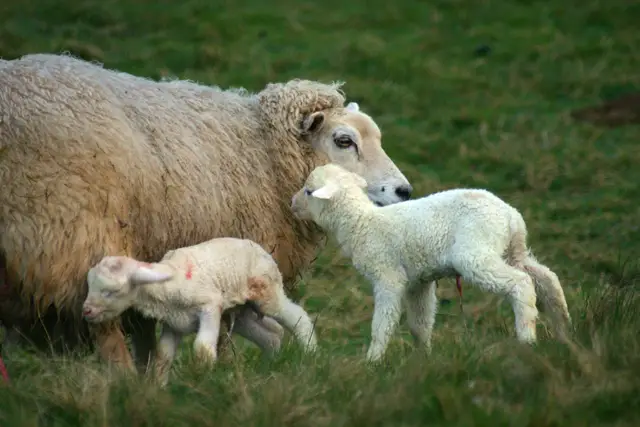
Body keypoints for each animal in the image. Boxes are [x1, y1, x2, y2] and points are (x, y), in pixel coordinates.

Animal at [82, 237, 318, 385]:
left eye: (111, 291)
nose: (86, 311)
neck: (170, 282)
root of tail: (260, 249)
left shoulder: (210, 306)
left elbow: (203, 350)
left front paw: (203, 382)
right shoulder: (173, 325)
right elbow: (163, 356)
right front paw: (158, 388)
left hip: (267, 293)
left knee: (298, 317)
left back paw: (310, 353)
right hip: (241, 311)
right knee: (272, 334)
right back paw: (267, 366)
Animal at [290, 164, 572, 363]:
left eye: (308, 191)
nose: (291, 204)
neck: (360, 221)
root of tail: (511, 216)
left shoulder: (388, 276)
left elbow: (382, 323)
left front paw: (373, 360)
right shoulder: (419, 281)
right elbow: (420, 324)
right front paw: (424, 357)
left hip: (476, 251)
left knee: (521, 284)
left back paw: (527, 338)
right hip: (513, 251)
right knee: (546, 277)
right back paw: (564, 328)